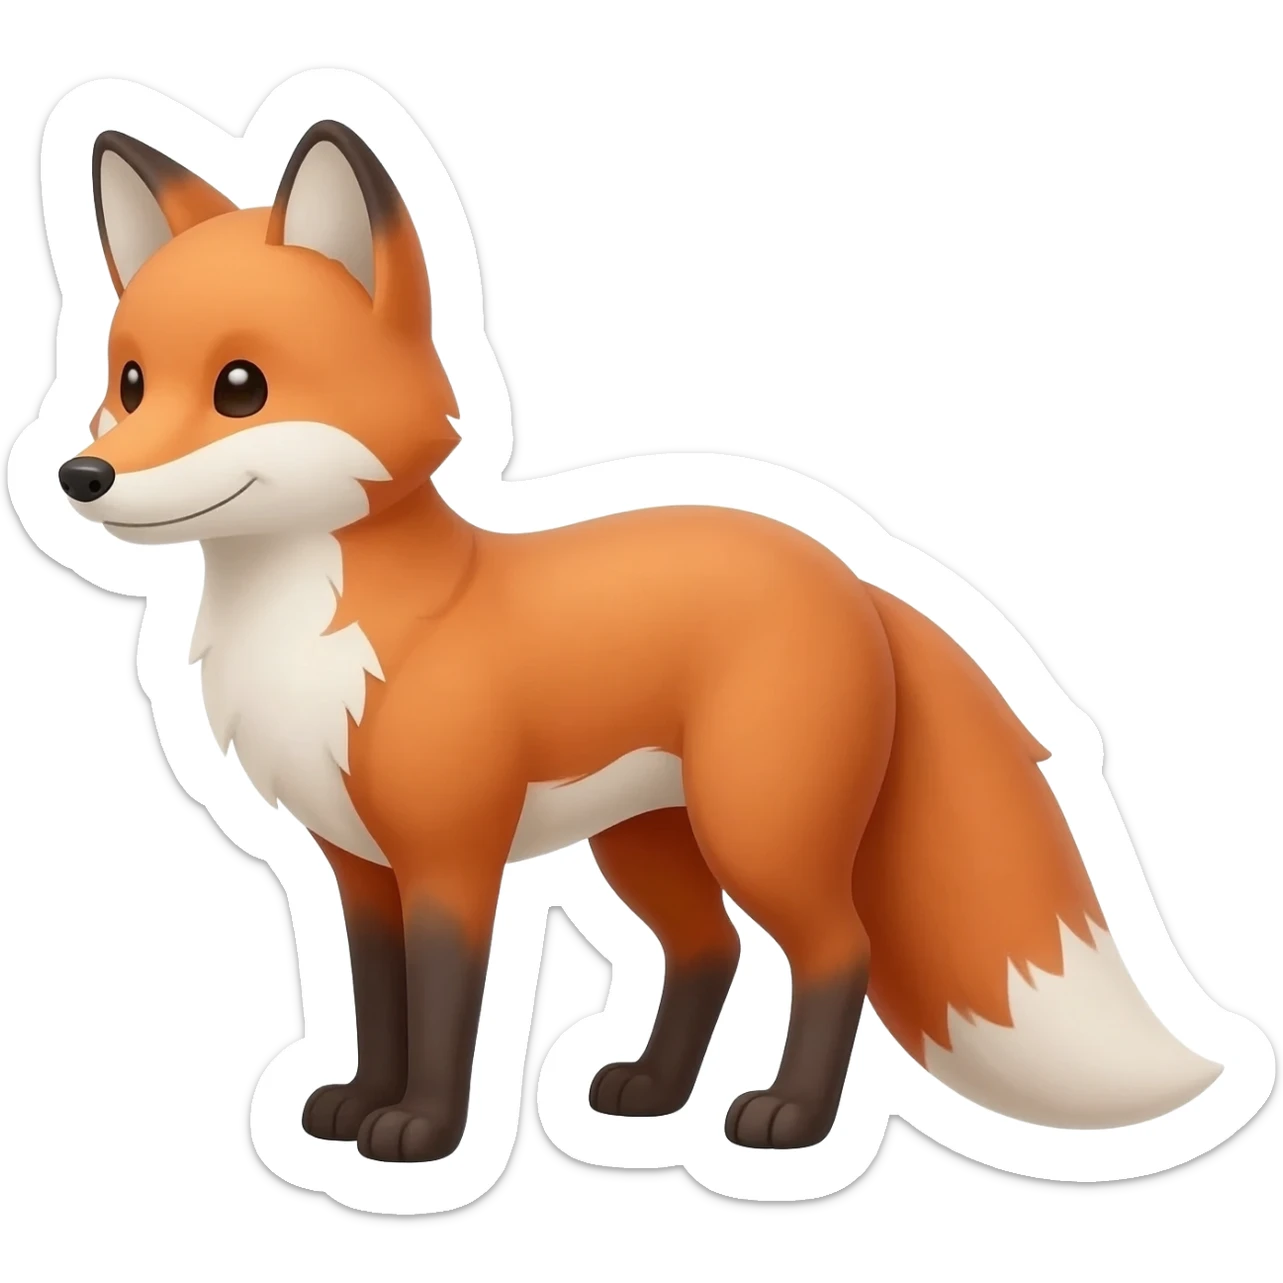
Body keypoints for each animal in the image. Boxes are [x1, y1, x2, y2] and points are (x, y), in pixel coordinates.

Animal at [51, 117, 1222, 1163]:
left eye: (239, 387)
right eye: (130, 384)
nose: (80, 476)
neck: (328, 627)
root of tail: (849, 571)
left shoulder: (451, 857)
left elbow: (444, 1008)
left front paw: (422, 1131)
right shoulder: (354, 866)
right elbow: (376, 1001)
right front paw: (352, 1104)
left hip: (758, 831)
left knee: (835, 950)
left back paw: (789, 1119)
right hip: (646, 841)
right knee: (710, 951)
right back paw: (652, 1091)